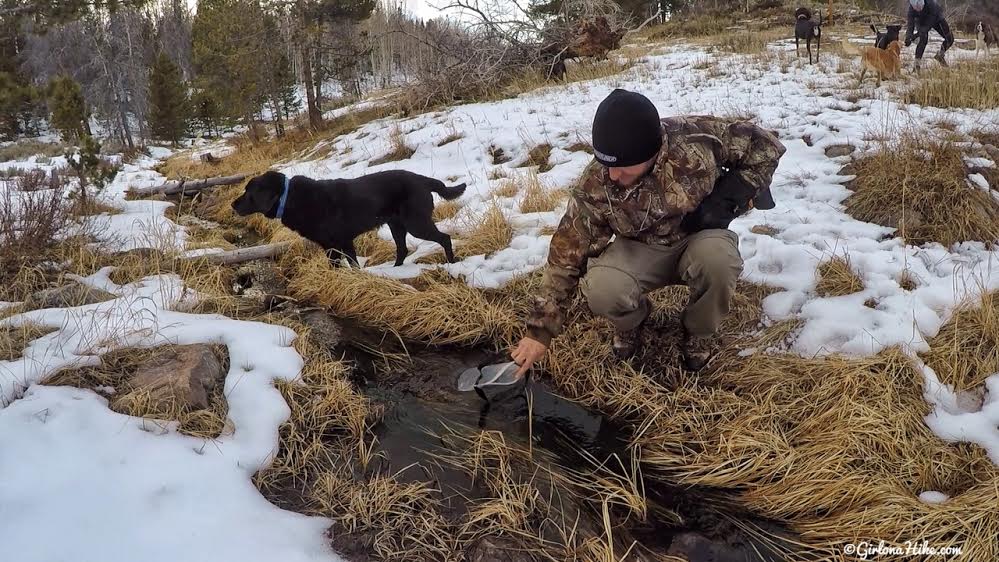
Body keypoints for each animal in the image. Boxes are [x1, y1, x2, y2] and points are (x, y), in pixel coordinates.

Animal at [232, 170, 466, 266]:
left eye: (248, 192)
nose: (232, 204)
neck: (289, 197)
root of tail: (423, 179)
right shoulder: (331, 246)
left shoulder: (342, 242)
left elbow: (353, 264)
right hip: (396, 225)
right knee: (402, 249)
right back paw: (395, 270)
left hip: (416, 223)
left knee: (444, 238)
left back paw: (451, 263)